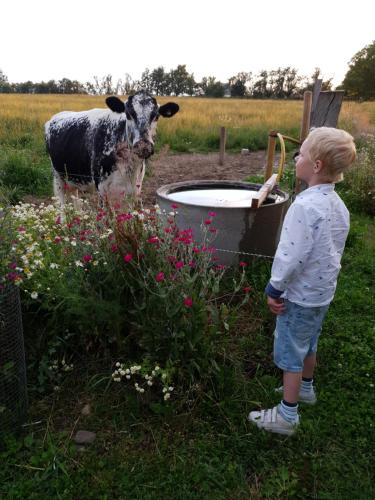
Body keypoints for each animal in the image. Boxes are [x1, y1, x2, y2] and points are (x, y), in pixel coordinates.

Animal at [44, 91, 180, 206]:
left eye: (156, 115)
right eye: (128, 114)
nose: (143, 145)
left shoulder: (135, 189)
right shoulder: (102, 189)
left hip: (73, 178)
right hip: (57, 177)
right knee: (62, 206)